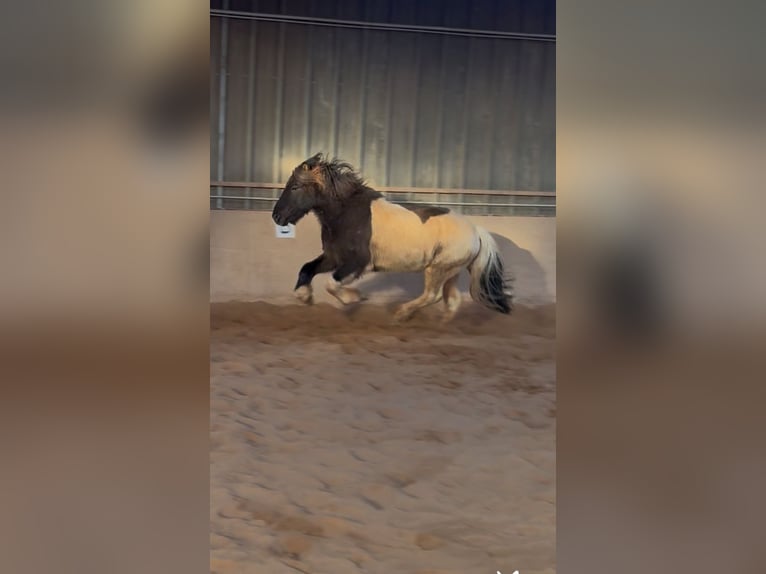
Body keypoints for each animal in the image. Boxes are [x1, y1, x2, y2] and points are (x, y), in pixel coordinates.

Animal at [272, 153, 513, 322]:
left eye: (295, 186)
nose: (276, 216)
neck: (347, 214)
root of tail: (476, 231)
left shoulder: (358, 263)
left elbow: (332, 284)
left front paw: (355, 297)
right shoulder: (333, 257)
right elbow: (307, 269)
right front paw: (305, 296)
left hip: (438, 269)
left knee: (432, 295)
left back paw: (401, 313)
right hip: (451, 271)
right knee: (452, 300)